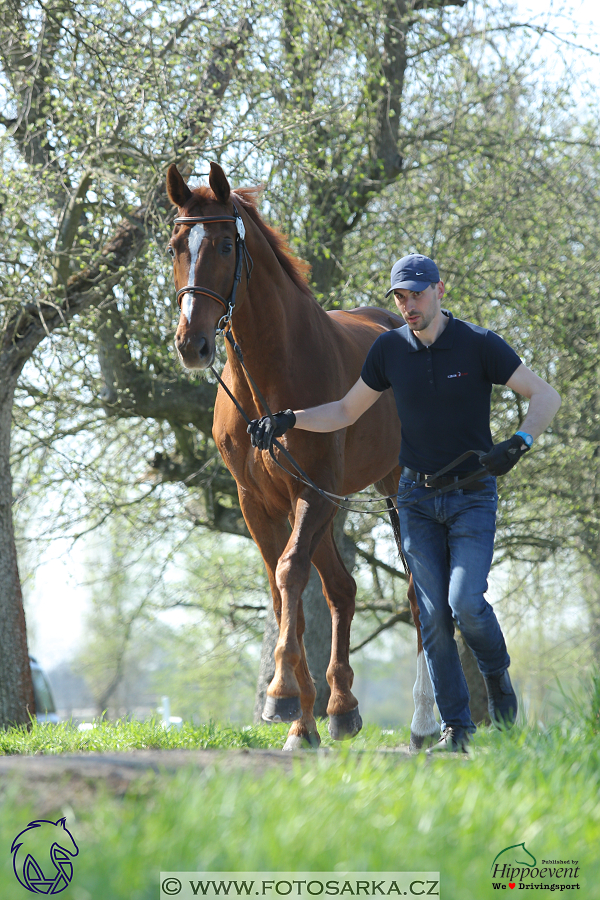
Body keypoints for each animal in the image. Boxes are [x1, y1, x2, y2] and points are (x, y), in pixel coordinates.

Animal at [166, 162, 438, 752]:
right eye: (176, 245)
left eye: (225, 244)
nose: (192, 345)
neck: (269, 378)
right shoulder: (258, 502)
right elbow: (279, 590)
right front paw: (301, 719)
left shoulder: (309, 491)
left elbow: (291, 574)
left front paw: (281, 693)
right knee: (342, 589)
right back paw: (341, 708)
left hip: (395, 488)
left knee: (414, 594)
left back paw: (424, 721)